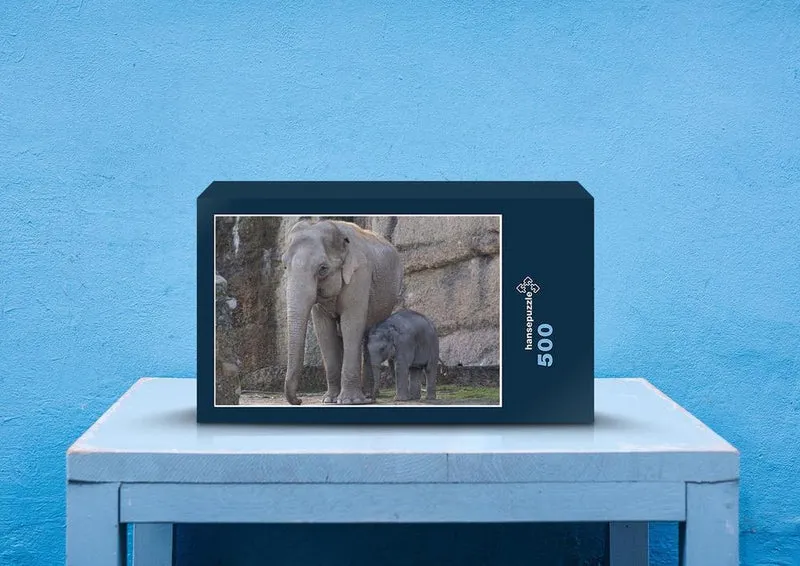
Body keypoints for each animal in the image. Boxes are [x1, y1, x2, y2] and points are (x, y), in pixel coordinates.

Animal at [281, 218, 404, 405]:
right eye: (285, 266)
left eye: (323, 269)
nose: (299, 400)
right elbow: (324, 330)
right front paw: (329, 399)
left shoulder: (360, 274)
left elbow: (351, 324)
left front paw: (349, 401)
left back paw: (368, 396)